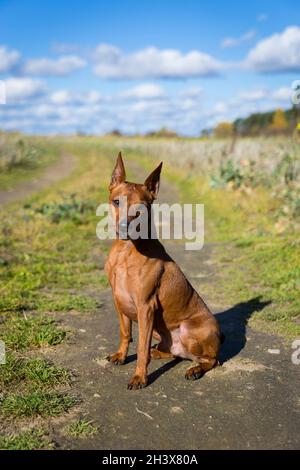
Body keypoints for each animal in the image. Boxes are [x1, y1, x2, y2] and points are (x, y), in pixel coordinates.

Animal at [104, 153, 221, 390]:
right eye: (116, 201)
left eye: (140, 209)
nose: (124, 227)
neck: (126, 251)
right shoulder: (119, 301)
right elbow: (125, 332)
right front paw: (121, 356)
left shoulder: (145, 306)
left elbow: (140, 347)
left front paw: (140, 377)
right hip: (160, 331)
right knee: (171, 353)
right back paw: (159, 352)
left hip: (190, 329)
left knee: (211, 359)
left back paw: (194, 369)